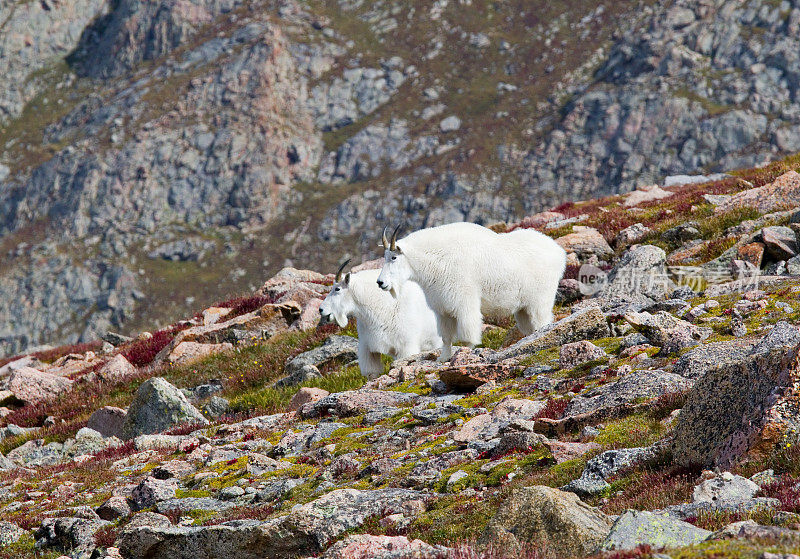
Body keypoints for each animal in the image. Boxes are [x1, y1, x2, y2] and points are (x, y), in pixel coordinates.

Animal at [378, 223, 564, 364]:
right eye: (385, 257)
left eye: (394, 257)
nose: (380, 283)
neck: (435, 260)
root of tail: (559, 252)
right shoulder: (443, 309)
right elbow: (446, 337)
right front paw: (443, 359)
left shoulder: (464, 303)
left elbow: (467, 334)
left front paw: (463, 355)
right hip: (523, 309)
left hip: (540, 301)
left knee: (542, 323)